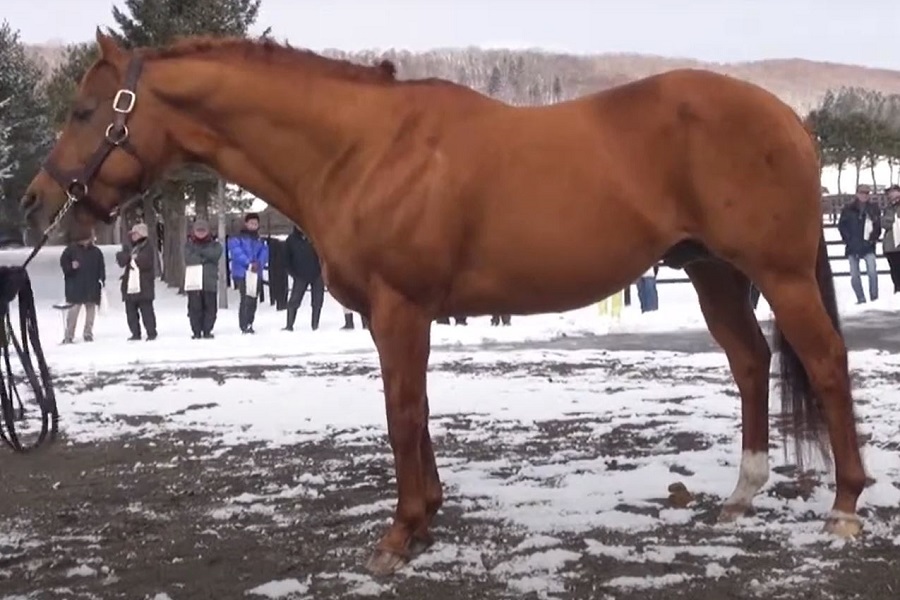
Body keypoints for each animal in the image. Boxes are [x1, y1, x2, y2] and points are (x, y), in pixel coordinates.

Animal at [22, 30, 864, 576]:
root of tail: (786, 120)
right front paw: (427, 518)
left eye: (86, 111)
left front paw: (400, 536)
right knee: (751, 362)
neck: (362, 151)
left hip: (780, 273)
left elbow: (402, 415)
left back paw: (845, 507)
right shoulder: (402, 315)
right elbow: (417, 413)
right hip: (715, 272)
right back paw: (741, 498)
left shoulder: (400, 309)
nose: (34, 202)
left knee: (824, 364)